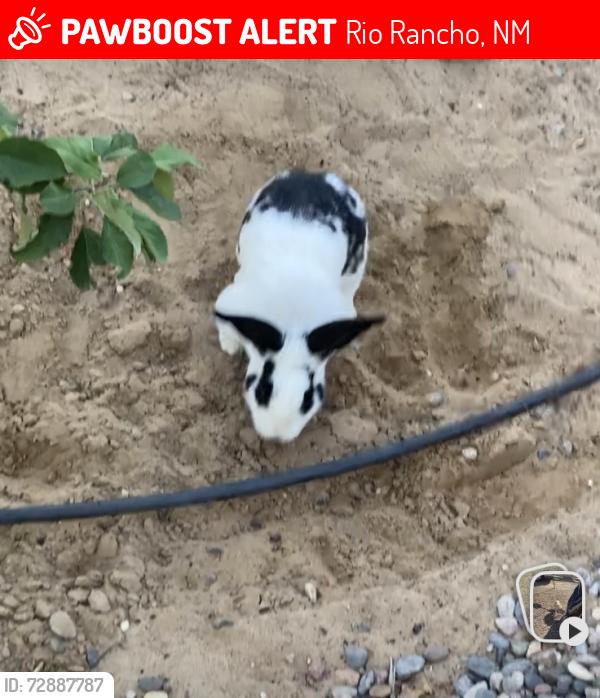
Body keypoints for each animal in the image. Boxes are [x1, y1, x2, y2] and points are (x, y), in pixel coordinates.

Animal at [214, 170, 383, 442]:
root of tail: (319, 176)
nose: (276, 436)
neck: (293, 321)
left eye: (308, 398)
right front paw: (230, 347)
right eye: (263, 389)